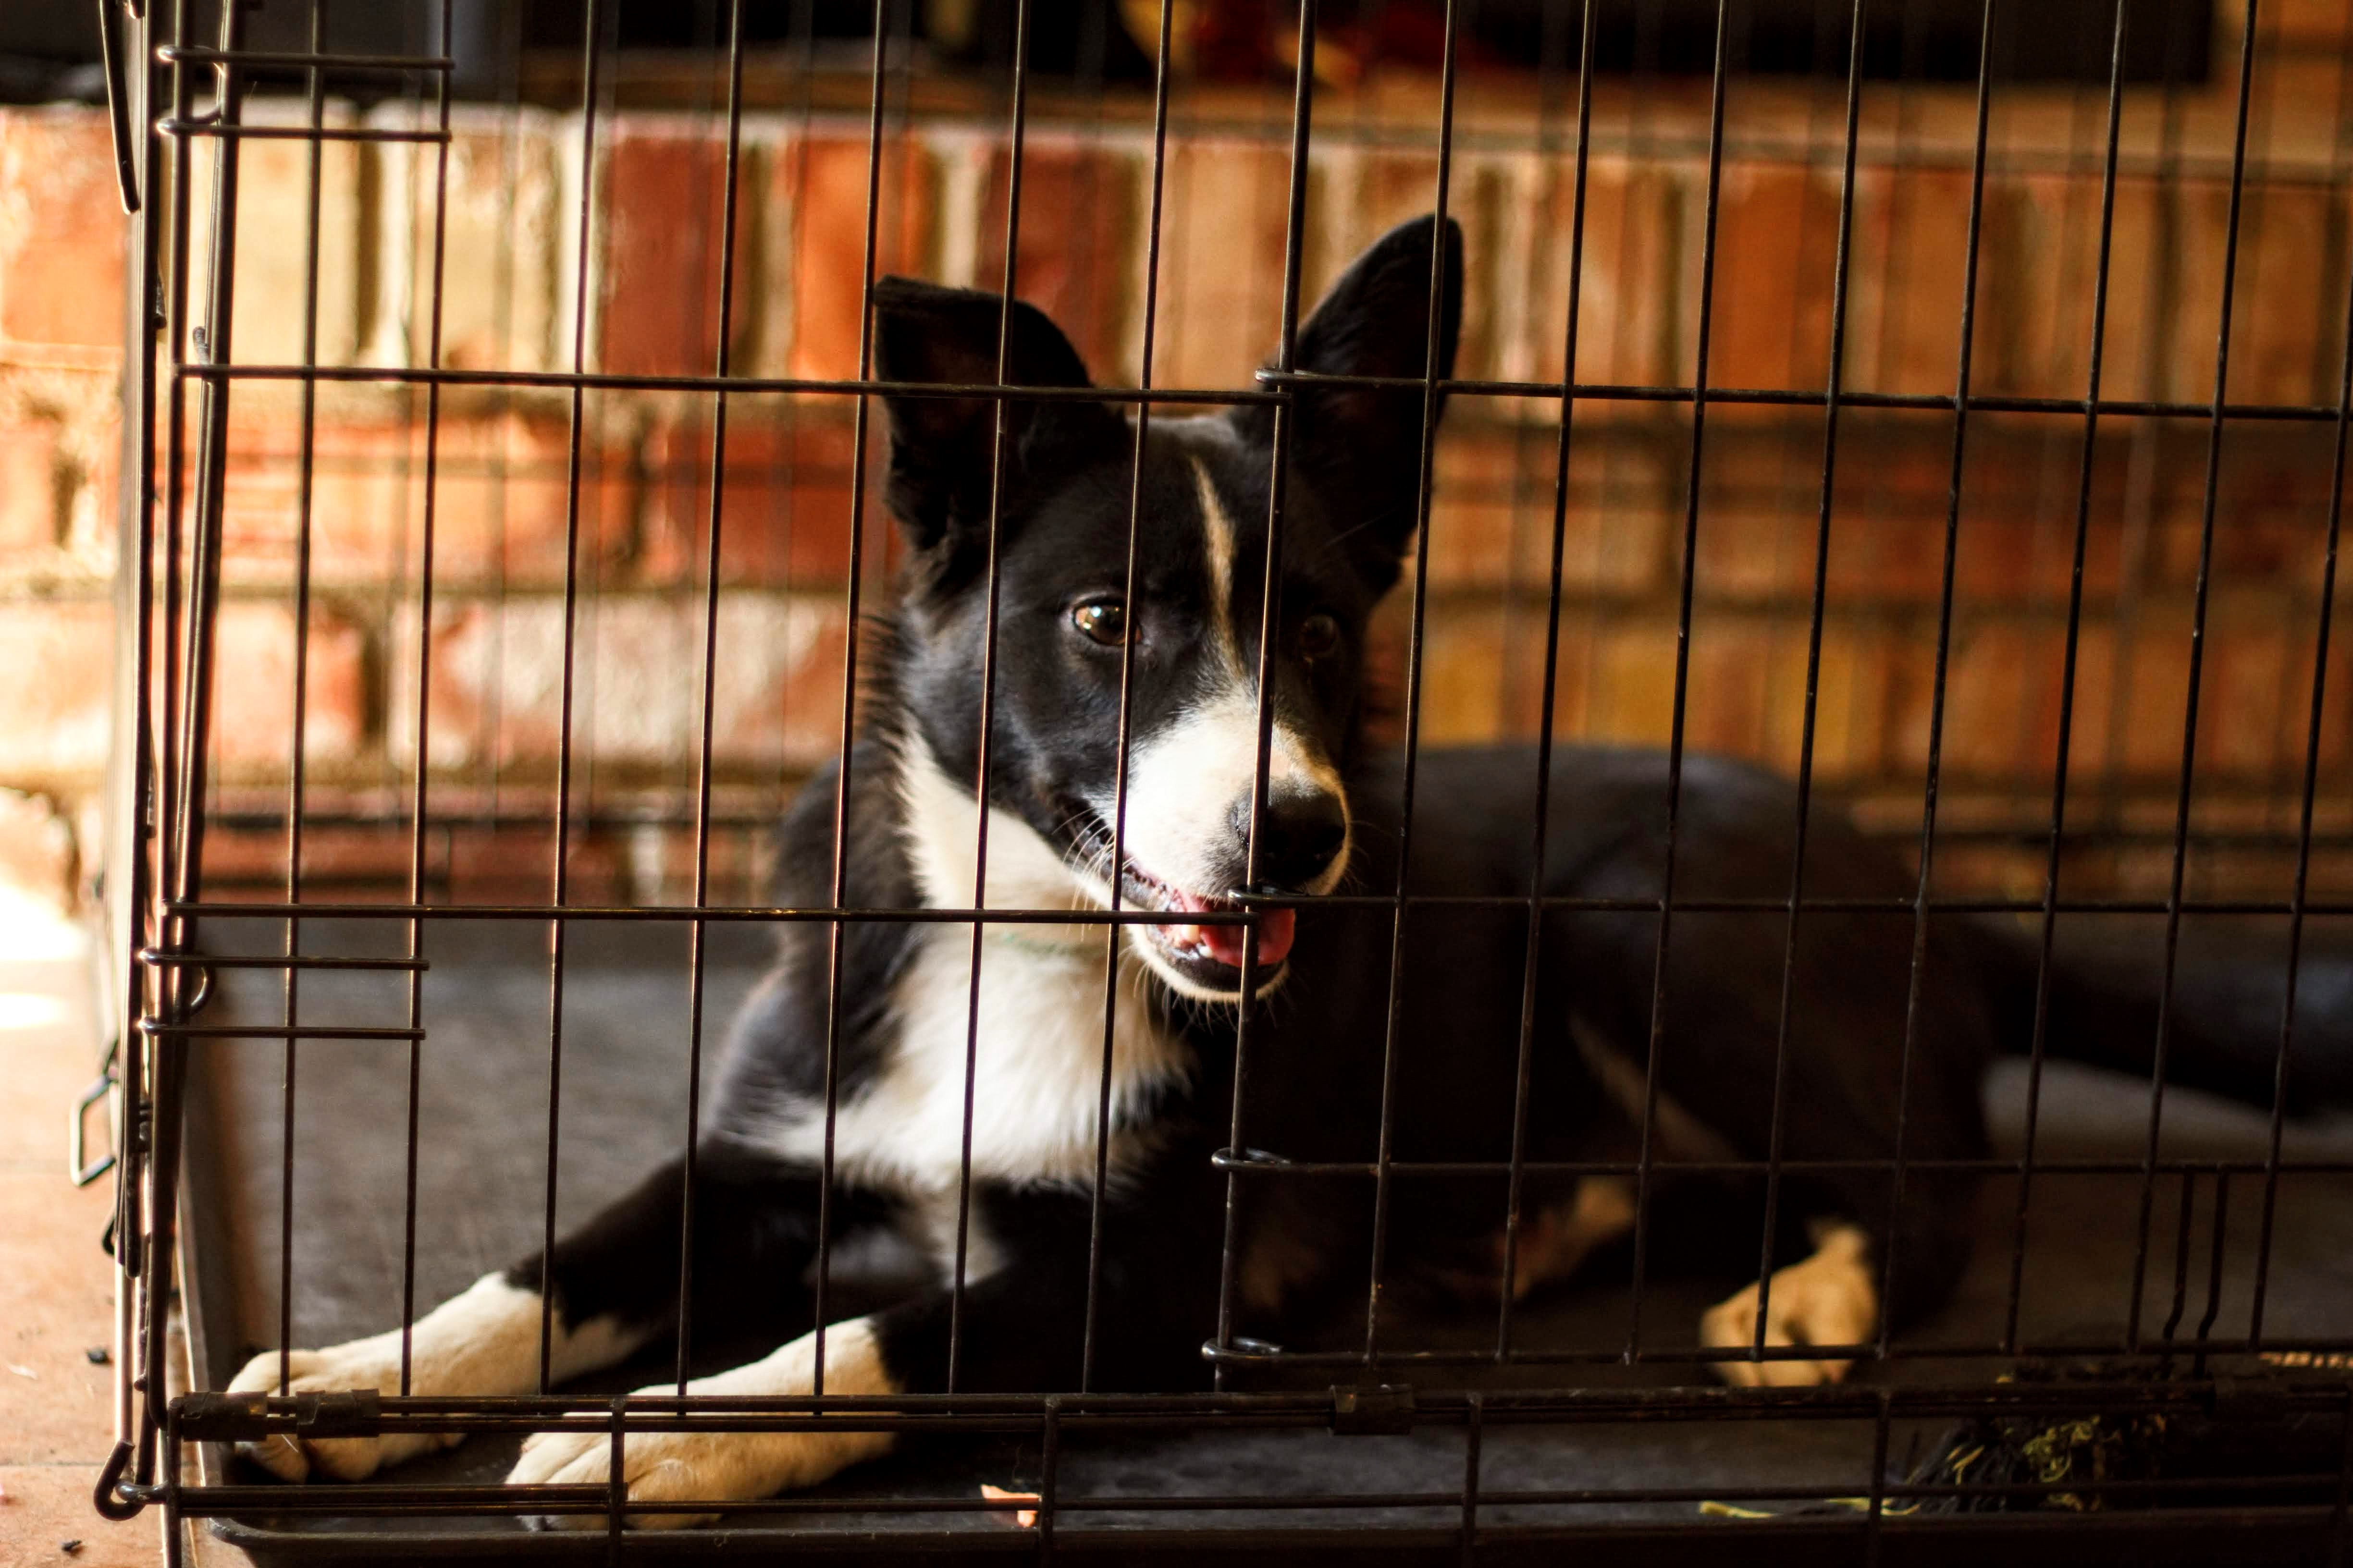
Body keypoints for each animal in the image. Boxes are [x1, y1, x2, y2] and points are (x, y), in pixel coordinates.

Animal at [229, 217, 2353, 1523]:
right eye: (1102, 620)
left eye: (1321, 633)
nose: (1302, 838)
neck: (1033, 948)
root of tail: (1919, 884)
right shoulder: (766, 1150)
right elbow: (537, 1273)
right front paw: (346, 1381)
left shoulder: (1142, 1285)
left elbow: (868, 1334)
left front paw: (661, 1435)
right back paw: (1519, 1234)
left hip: (1647, 913)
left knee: (1929, 1186)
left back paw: (1800, 1302)